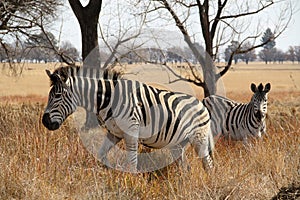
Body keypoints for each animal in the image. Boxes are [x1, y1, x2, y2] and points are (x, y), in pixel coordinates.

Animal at [42, 66, 214, 173]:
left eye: (57, 96)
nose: (45, 121)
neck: (110, 99)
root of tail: (201, 104)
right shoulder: (114, 133)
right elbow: (101, 154)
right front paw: (106, 172)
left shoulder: (131, 132)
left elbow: (132, 162)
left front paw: (132, 182)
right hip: (177, 144)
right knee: (185, 167)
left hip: (199, 139)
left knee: (208, 164)